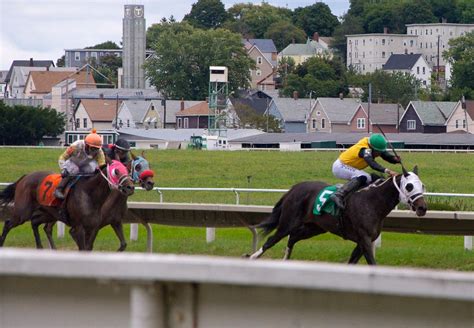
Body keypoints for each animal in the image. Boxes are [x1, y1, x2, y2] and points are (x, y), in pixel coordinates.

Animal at [0, 161, 133, 251]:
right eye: (116, 171)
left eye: (127, 171)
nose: (130, 187)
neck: (90, 194)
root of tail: (25, 177)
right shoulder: (78, 228)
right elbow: (83, 248)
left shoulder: (94, 227)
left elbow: (89, 248)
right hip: (22, 213)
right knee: (8, 223)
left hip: (49, 214)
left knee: (35, 223)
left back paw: (41, 247)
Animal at [250, 165, 428, 266]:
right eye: (409, 186)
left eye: (422, 185)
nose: (423, 208)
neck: (372, 201)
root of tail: (293, 188)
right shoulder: (364, 238)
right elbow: (372, 263)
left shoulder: (363, 241)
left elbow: (352, 262)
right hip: (288, 222)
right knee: (272, 240)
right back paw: (252, 257)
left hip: (315, 227)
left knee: (293, 238)